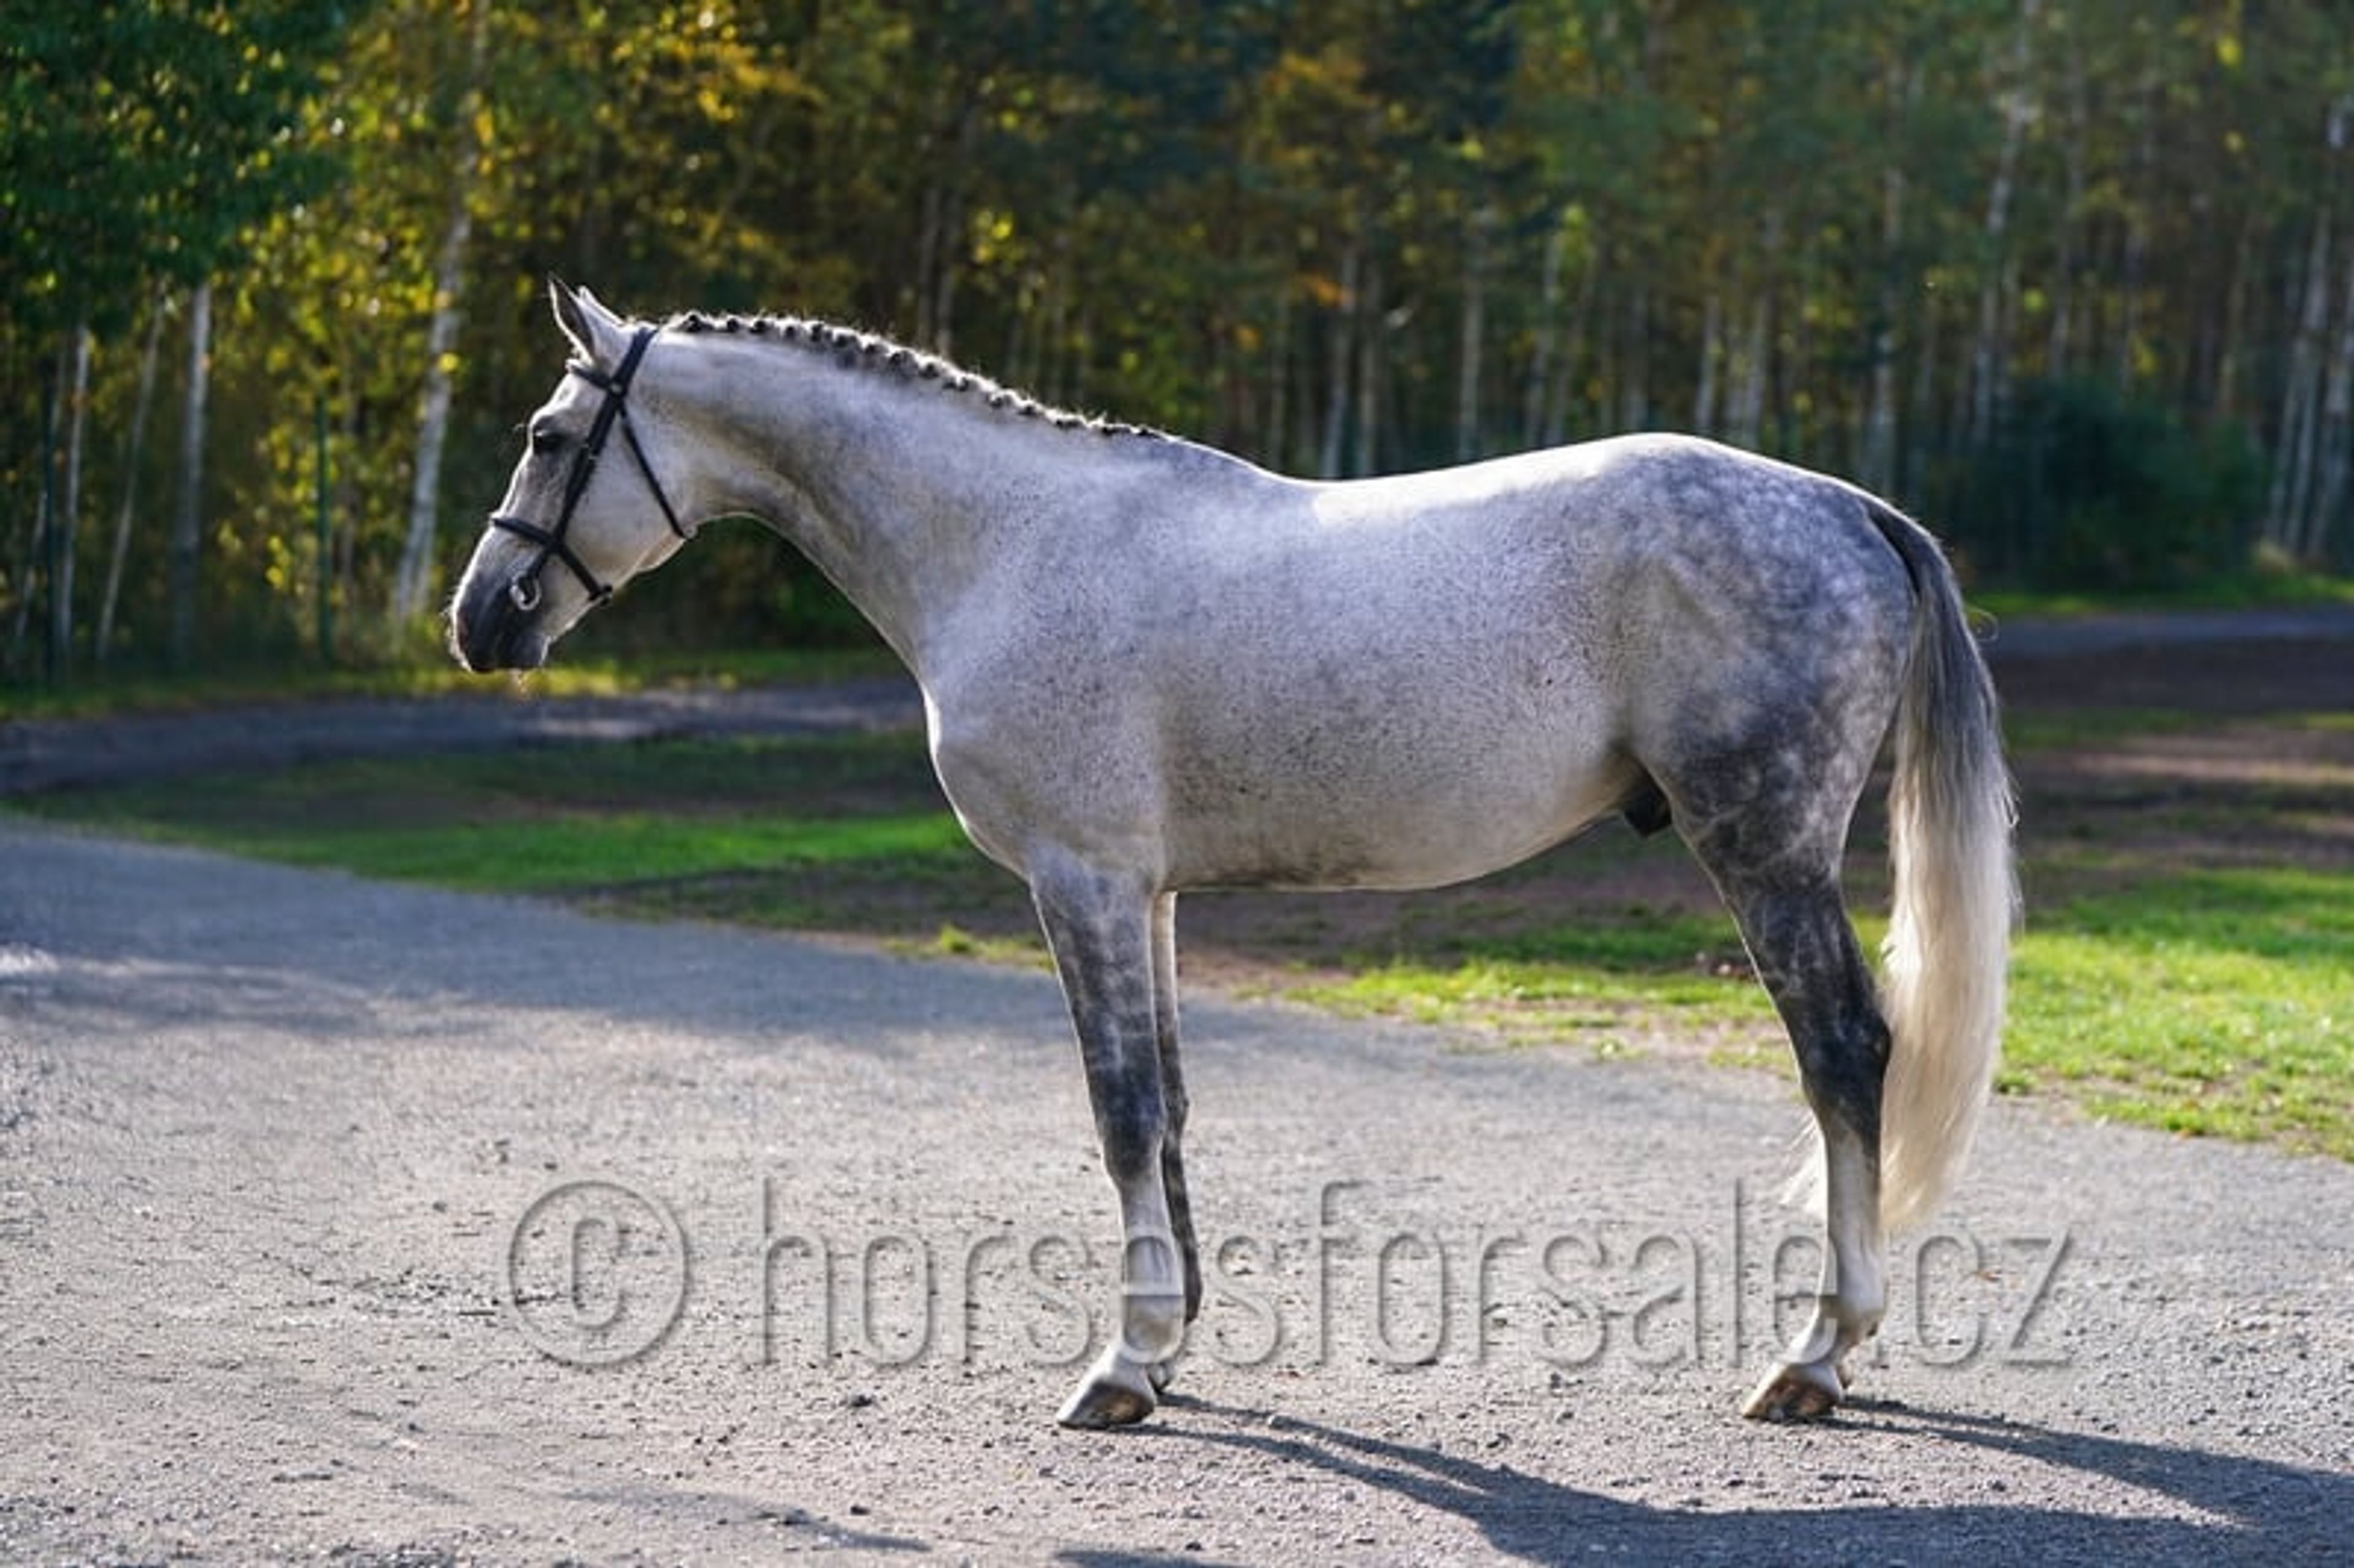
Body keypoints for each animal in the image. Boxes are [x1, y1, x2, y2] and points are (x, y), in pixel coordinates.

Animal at [450, 282, 2016, 1429]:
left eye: (546, 435)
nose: (482, 618)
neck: (1008, 543)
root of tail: (1845, 506)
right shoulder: (1144, 894)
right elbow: (1171, 1104)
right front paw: (1169, 1344)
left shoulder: (1078, 880)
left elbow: (1119, 1107)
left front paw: (1120, 1365)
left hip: (1764, 851)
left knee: (1844, 1057)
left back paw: (1815, 1357)